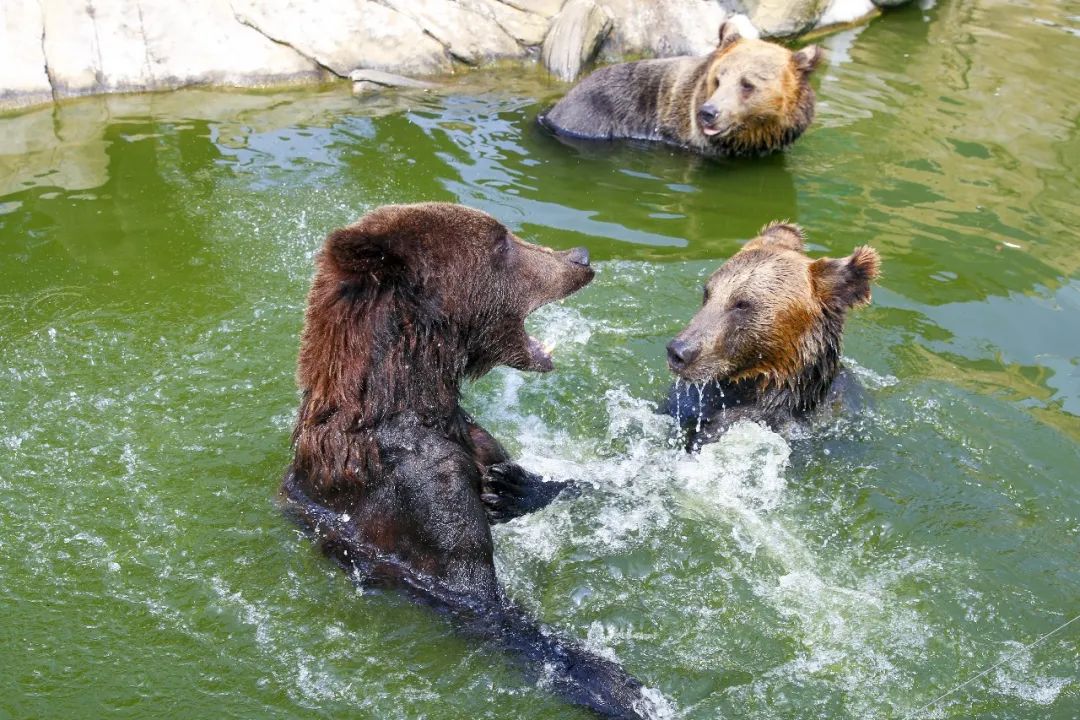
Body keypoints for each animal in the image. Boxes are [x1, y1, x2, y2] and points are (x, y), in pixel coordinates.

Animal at [285, 202, 656, 720]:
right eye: (502, 242)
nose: (580, 256)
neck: (409, 398)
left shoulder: (475, 442)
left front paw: (518, 488)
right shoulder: (419, 485)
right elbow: (478, 599)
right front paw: (620, 686)